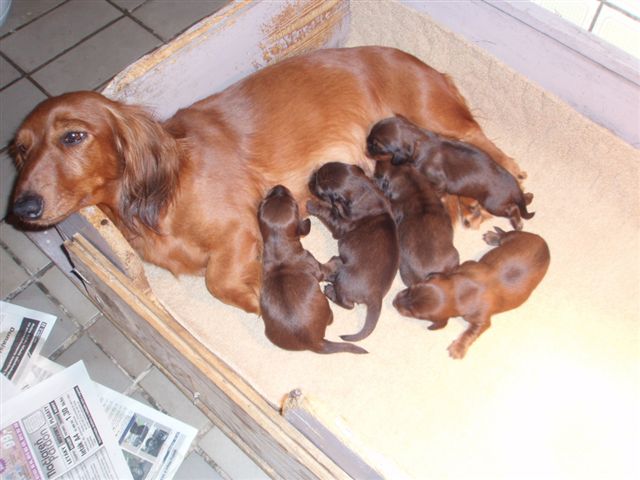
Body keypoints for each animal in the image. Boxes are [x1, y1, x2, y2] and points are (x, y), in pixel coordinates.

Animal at [258, 185, 366, 354]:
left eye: (269, 198)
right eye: (294, 204)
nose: (279, 187)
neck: (278, 253)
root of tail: (316, 343)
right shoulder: (316, 267)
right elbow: (326, 269)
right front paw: (335, 262)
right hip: (327, 308)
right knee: (331, 317)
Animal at [307, 162, 399, 342]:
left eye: (320, 189)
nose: (309, 179)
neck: (365, 190)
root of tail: (376, 295)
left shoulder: (339, 225)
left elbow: (328, 212)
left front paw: (312, 205)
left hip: (343, 279)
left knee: (347, 304)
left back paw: (330, 291)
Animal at [367, 115, 533, 230]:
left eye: (376, 146)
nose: (365, 148)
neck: (420, 140)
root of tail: (514, 188)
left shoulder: (439, 181)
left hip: (493, 203)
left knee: (513, 208)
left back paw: (518, 224)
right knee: (523, 200)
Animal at [393, 227, 550, 359]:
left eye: (415, 314)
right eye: (411, 288)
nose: (393, 302)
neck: (461, 293)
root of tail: (545, 244)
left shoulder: (482, 320)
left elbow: (471, 333)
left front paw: (458, 348)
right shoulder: (467, 266)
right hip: (514, 236)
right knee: (504, 235)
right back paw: (493, 237)